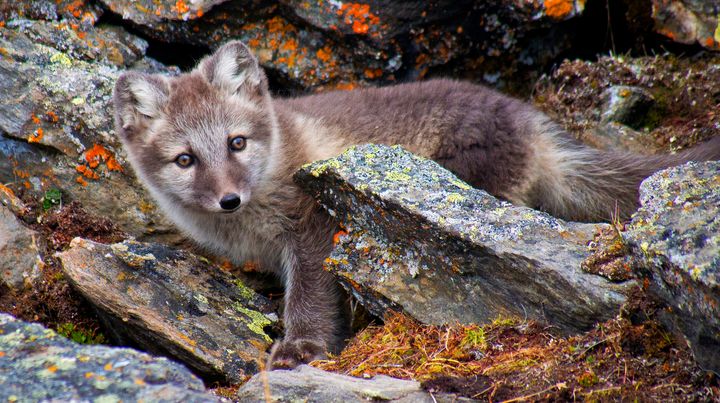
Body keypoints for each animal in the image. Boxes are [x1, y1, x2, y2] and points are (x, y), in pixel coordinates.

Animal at [112, 40, 720, 370]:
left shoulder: (314, 226)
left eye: (237, 142)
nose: (229, 198)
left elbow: (308, 293)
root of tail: (531, 119)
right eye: (185, 159)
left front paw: (301, 345)